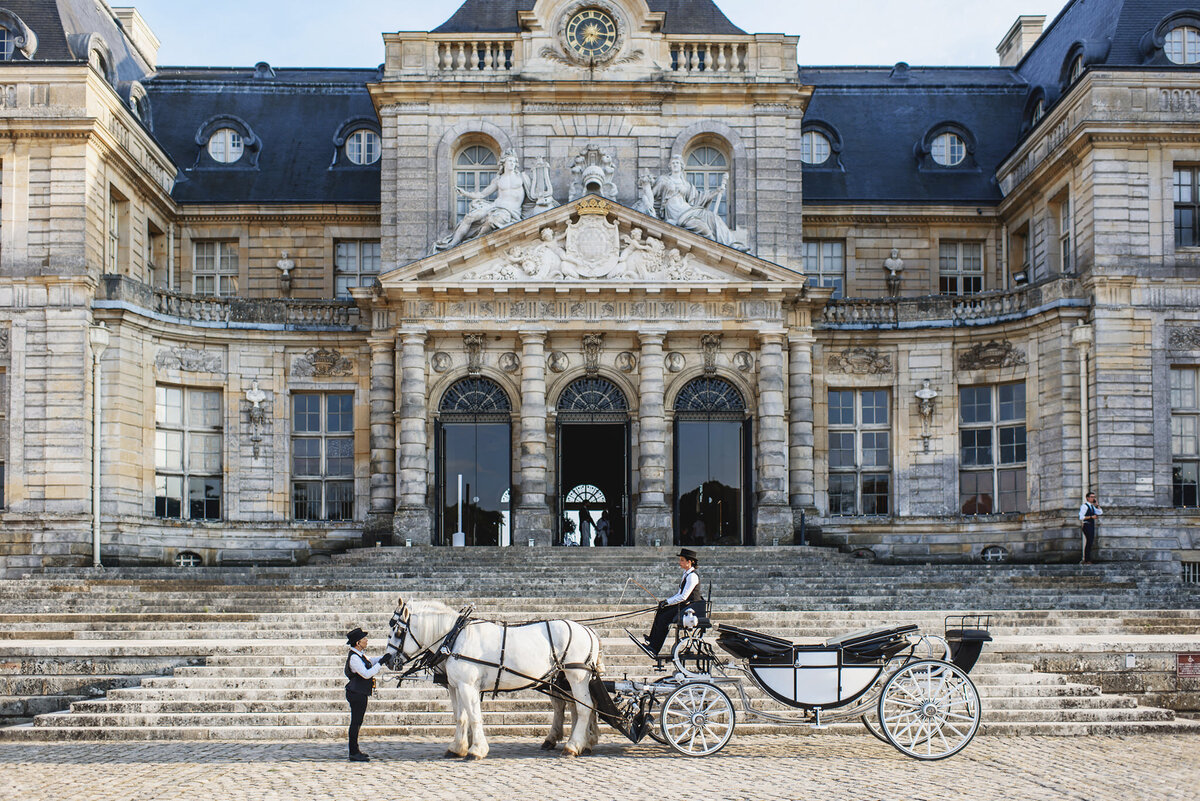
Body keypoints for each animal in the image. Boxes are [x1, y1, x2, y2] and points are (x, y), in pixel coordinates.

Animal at [384, 597, 604, 762]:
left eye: (398, 632)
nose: (387, 659)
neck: (455, 638)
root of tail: (589, 630)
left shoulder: (468, 686)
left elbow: (474, 716)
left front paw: (476, 750)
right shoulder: (456, 686)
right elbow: (461, 717)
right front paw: (457, 747)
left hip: (576, 677)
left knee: (584, 708)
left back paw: (573, 746)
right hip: (562, 678)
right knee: (575, 706)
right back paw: (581, 742)